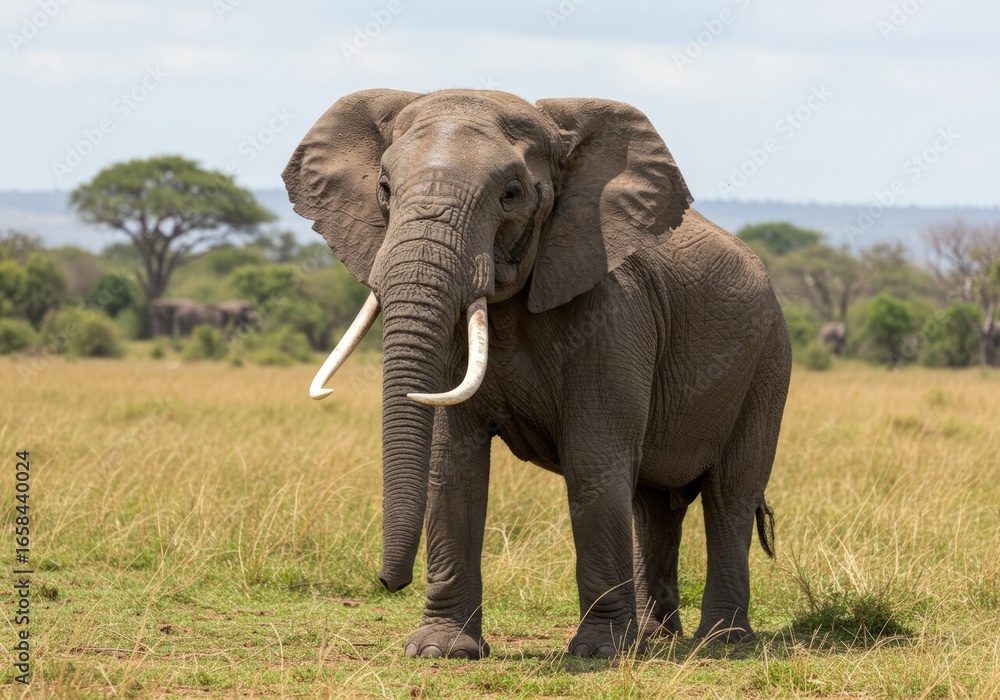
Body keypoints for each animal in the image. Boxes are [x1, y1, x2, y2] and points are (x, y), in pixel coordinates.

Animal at [283, 89, 792, 659]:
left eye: (511, 194)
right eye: (385, 189)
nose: (388, 582)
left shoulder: (615, 311)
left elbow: (594, 457)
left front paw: (600, 653)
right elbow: (451, 460)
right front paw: (441, 651)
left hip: (768, 363)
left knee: (729, 495)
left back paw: (720, 643)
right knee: (652, 503)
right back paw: (654, 640)